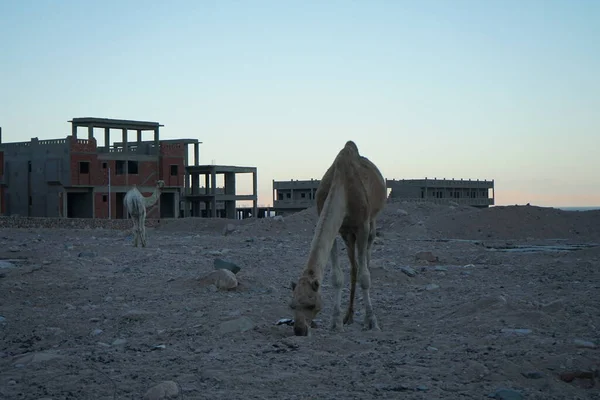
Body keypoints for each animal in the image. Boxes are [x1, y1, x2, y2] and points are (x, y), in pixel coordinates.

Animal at [292, 141, 390, 334]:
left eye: (311, 305)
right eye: (291, 305)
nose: (299, 330)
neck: (343, 188)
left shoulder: (362, 225)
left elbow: (365, 277)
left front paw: (372, 321)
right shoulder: (338, 231)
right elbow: (336, 277)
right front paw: (336, 321)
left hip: (371, 223)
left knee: (365, 262)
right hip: (348, 234)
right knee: (354, 267)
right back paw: (348, 317)